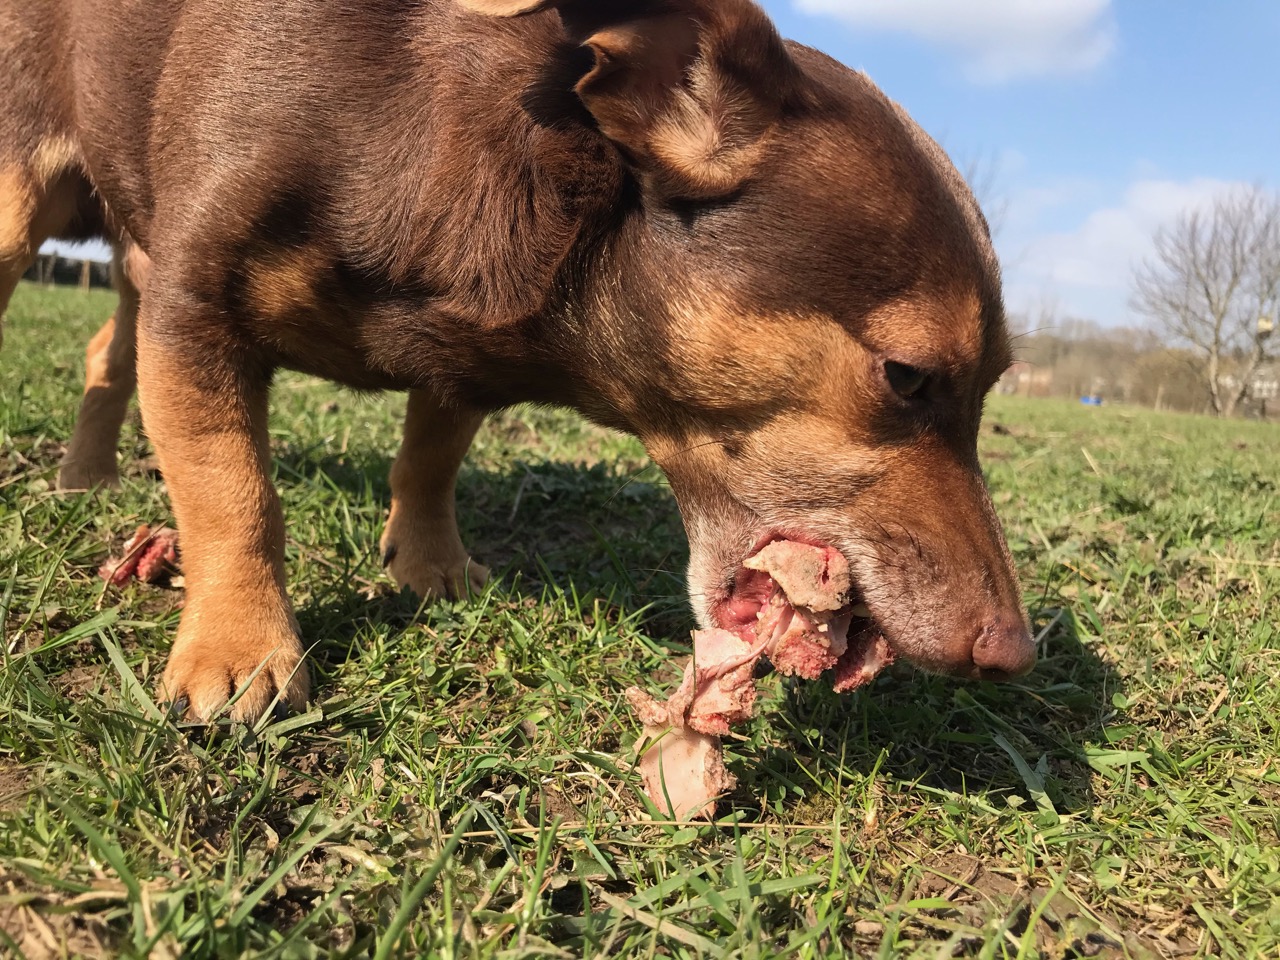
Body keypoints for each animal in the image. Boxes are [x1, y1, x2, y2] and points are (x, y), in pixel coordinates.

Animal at [0, 0, 1034, 721]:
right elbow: (232, 492)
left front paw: (430, 566)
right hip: (25, 206)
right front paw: (240, 649)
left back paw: (85, 475)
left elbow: (428, 460)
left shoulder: (456, 359)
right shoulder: (195, 311)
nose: (1015, 653)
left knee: (105, 352)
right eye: (906, 376)